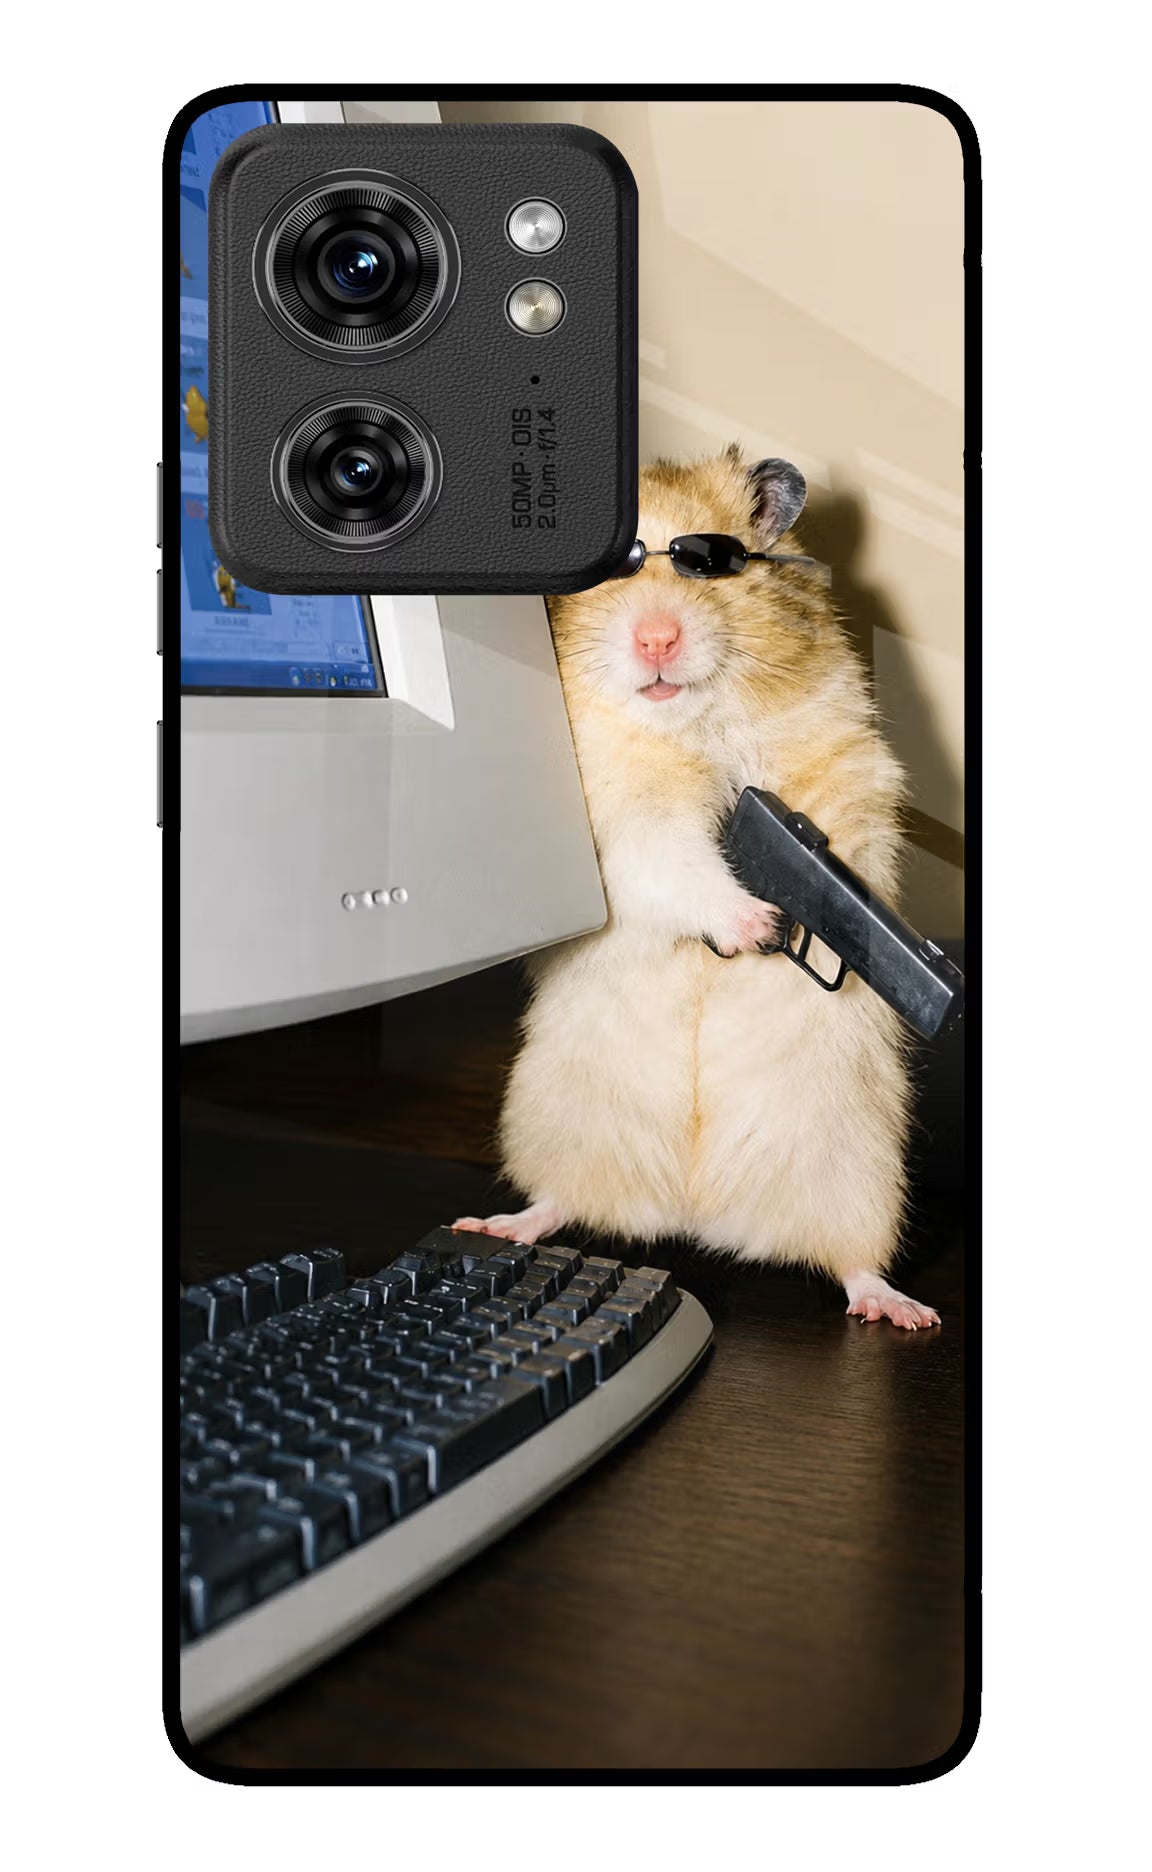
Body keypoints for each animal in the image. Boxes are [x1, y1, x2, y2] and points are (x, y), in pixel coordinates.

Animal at [456, 447, 939, 1329]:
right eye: (610, 569)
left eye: (709, 563)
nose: (657, 638)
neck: (691, 724)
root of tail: (694, 1212)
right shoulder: (621, 819)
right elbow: (675, 862)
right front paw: (757, 925)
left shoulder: (842, 764)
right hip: (555, 1119)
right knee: (560, 1200)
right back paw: (498, 1224)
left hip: (857, 1169)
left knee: (853, 1261)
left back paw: (902, 1310)